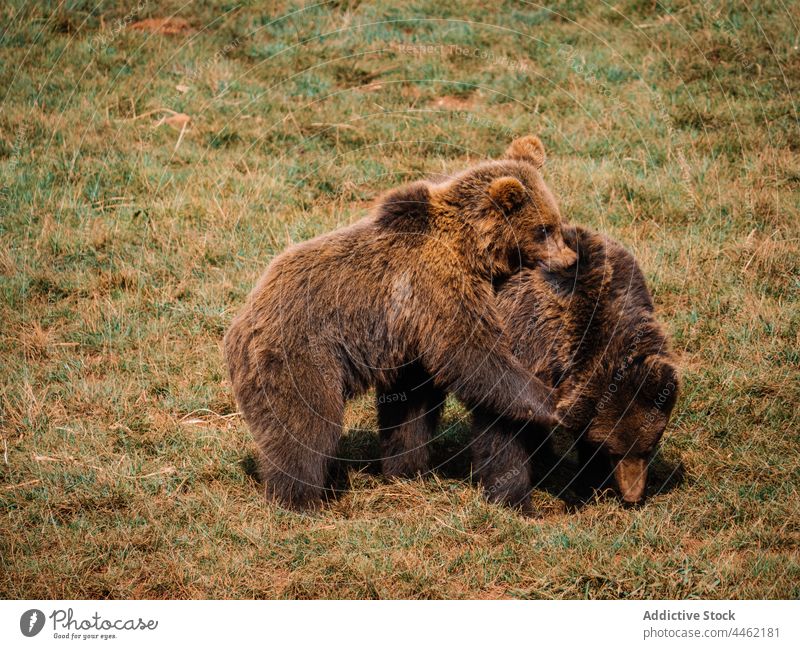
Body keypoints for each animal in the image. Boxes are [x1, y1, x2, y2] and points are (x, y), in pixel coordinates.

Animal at [223, 134, 576, 508]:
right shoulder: (437, 286)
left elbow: (410, 406)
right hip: (300, 355)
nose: (569, 259)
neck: (470, 249)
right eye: (543, 229)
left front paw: (407, 467)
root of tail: (239, 324)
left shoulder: (410, 337)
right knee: (306, 425)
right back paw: (300, 498)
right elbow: (473, 354)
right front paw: (552, 402)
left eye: (556, 220)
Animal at [468, 225, 680, 508]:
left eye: (647, 448)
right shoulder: (524, 337)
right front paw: (513, 498)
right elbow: (503, 425)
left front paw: (592, 481)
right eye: (614, 450)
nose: (633, 496)